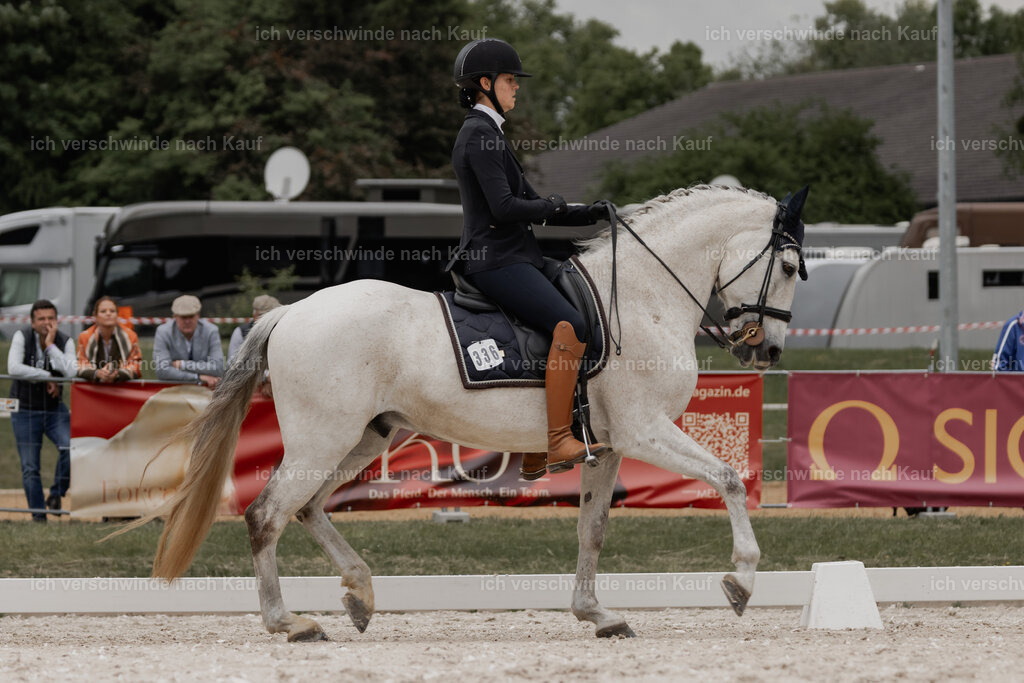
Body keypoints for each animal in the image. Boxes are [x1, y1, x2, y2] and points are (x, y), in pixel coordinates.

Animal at [144, 184, 808, 642]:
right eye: (791, 267)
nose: (768, 350)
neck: (645, 296)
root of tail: (290, 313)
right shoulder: (645, 432)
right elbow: (728, 478)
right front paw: (741, 580)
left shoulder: (610, 446)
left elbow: (591, 528)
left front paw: (597, 614)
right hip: (321, 438)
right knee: (267, 514)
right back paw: (291, 623)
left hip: (362, 438)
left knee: (306, 508)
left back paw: (359, 594)